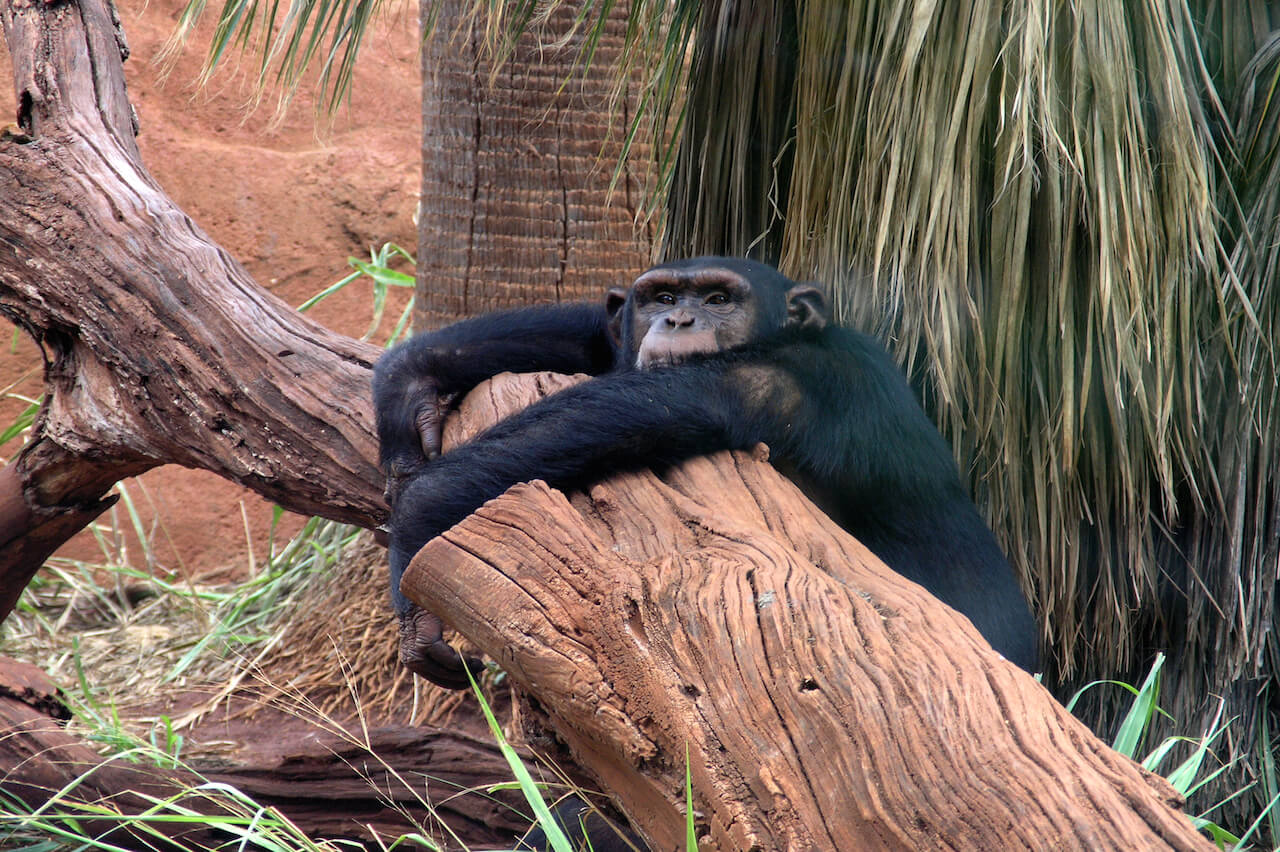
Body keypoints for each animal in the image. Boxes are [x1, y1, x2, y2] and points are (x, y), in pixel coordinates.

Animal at [373, 255, 1039, 685]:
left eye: (719, 300)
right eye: (663, 298)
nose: (679, 320)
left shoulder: (774, 381)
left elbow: (627, 411)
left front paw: (415, 538)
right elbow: (600, 339)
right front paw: (411, 381)